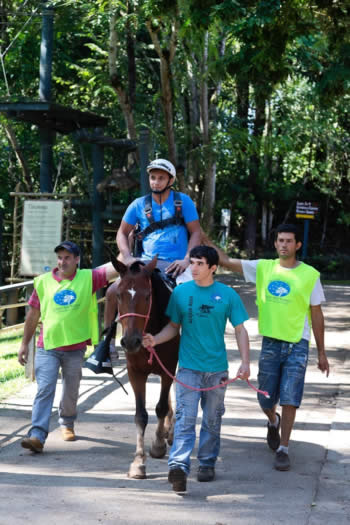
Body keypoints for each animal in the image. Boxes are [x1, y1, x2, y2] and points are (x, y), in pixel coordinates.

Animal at [112, 256, 179, 476]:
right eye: (118, 295)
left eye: (148, 296)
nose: (130, 341)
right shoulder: (135, 372)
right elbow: (140, 415)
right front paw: (138, 461)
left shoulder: (169, 367)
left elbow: (160, 407)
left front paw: (157, 445)